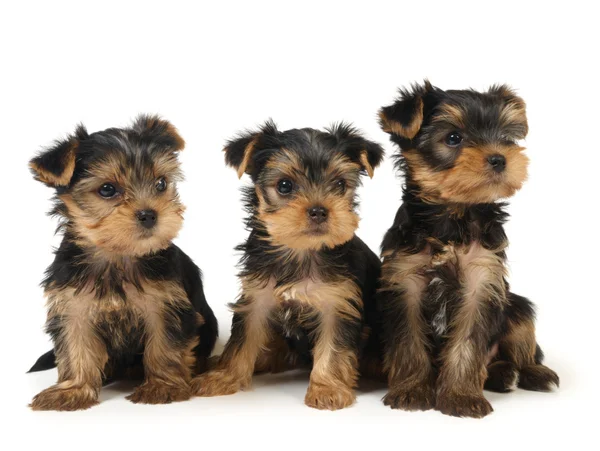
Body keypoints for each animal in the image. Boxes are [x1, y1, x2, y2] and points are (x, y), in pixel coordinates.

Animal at [27, 115, 218, 412]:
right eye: (107, 189)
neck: (117, 255)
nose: (149, 214)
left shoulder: (166, 305)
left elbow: (165, 345)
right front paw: (73, 390)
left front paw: (162, 385)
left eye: (161, 184)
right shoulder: (73, 307)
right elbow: (75, 347)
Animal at [190, 120, 382, 410]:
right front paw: (224, 376)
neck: (300, 251)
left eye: (340, 184)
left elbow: (333, 347)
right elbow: (242, 340)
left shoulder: (338, 303)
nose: (319, 210)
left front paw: (327, 388)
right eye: (284, 185)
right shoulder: (256, 297)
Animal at [378, 83, 560, 418]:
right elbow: (408, 340)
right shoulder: (405, 280)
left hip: (516, 307)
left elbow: (468, 342)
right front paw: (411, 390)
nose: (500, 158)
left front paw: (461, 396)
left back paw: (531, 372)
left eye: (506, 138)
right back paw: (504, 375)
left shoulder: (482, 279)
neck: (454, 214)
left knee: (522, 342)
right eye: (453, 138)